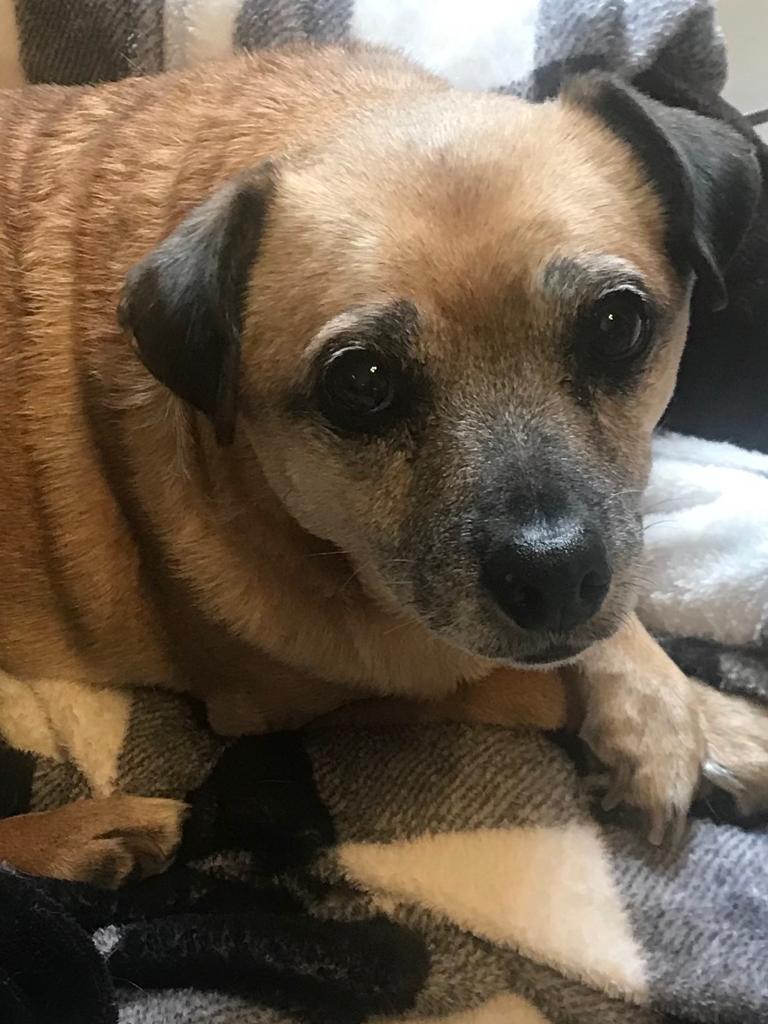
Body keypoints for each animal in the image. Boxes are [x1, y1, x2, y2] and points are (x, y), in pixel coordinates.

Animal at [1, 44, 768, 884]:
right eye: (360, 381)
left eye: (616, 323)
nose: (556, 575)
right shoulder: (287, 701)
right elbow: (518, 682)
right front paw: (676, 729)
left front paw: (689, 718)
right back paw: (94, 836)